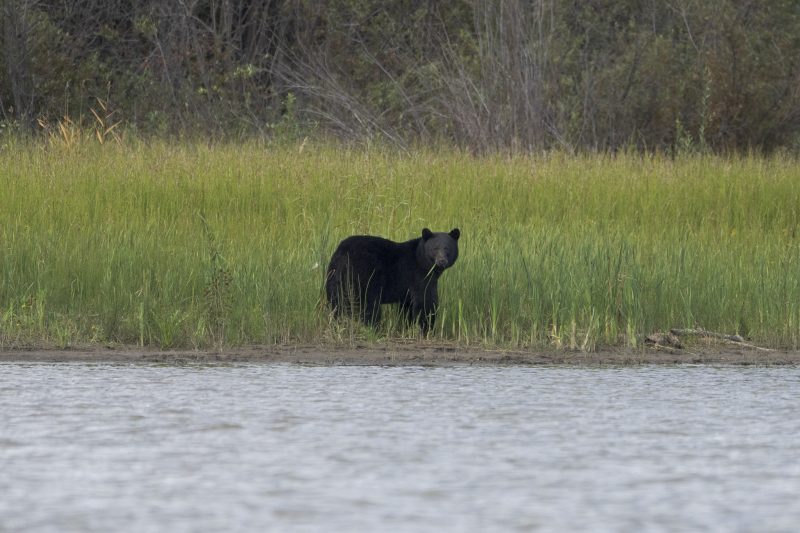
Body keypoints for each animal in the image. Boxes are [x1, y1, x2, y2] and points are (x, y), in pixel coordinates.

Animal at [325, 228, 460, 333]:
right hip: (363, 276)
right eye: (435, 248)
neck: (421, 259)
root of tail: (343, 253)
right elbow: (425, 301)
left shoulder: (407, 290)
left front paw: (407, 328)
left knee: (337, 303)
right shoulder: (418, 275)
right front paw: (427, 329)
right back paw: (375, 329)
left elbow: (408, 307)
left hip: (334, 277)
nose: (441, 261)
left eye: (447, 248)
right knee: (368, 305)